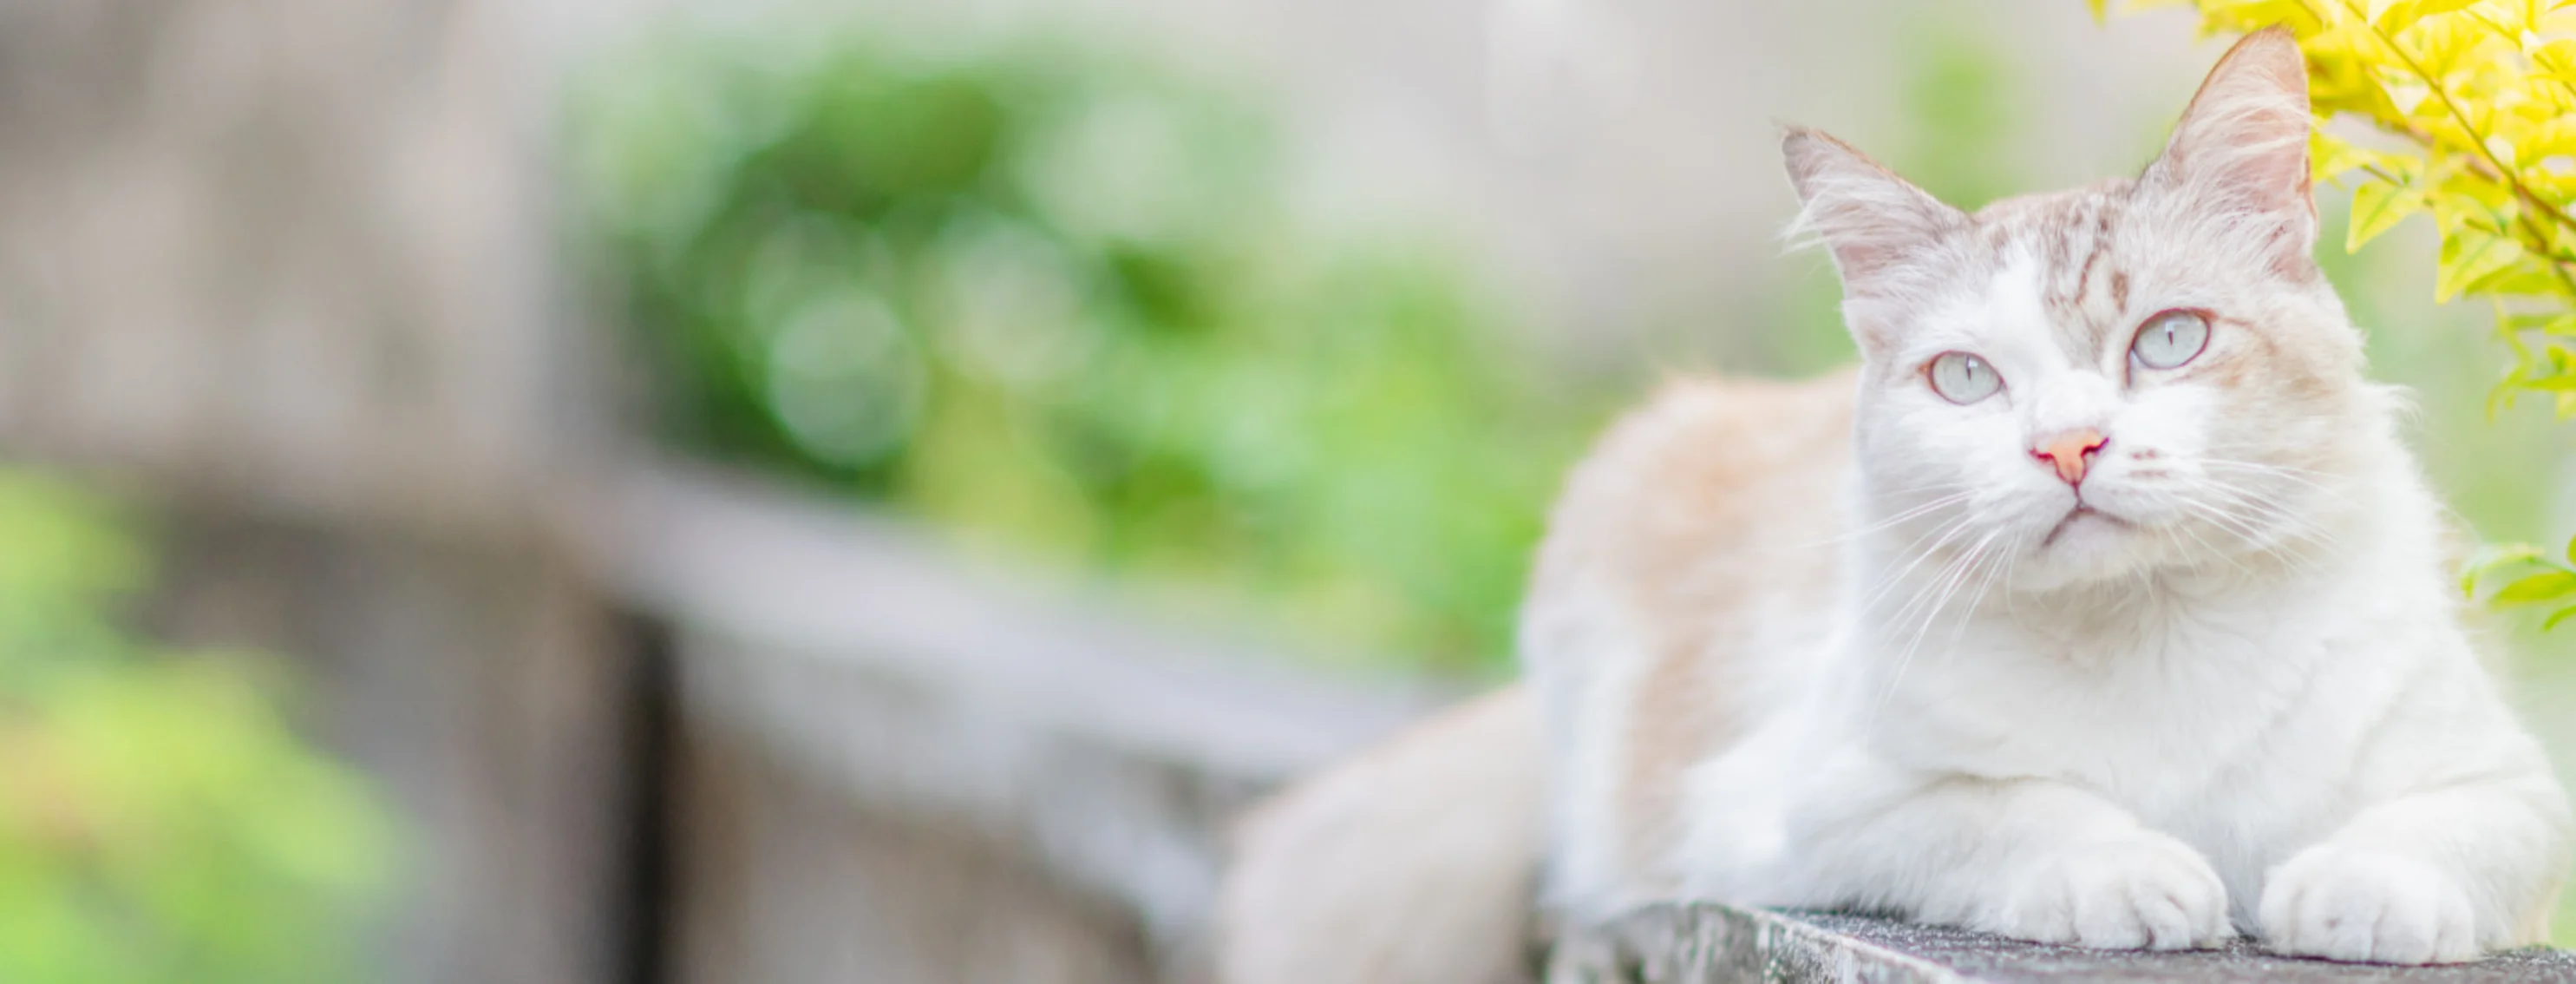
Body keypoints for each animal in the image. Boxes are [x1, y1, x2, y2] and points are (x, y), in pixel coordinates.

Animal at [1215, 26, 2566, 979]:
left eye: (2169, 341)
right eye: (1966, 379)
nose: (2066, 446)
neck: (2157, 630)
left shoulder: (2509, 783)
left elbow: (2434, 833)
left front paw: (2355, 896)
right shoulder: (1816, 807)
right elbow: (2020, 811)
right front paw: (2139, 878)